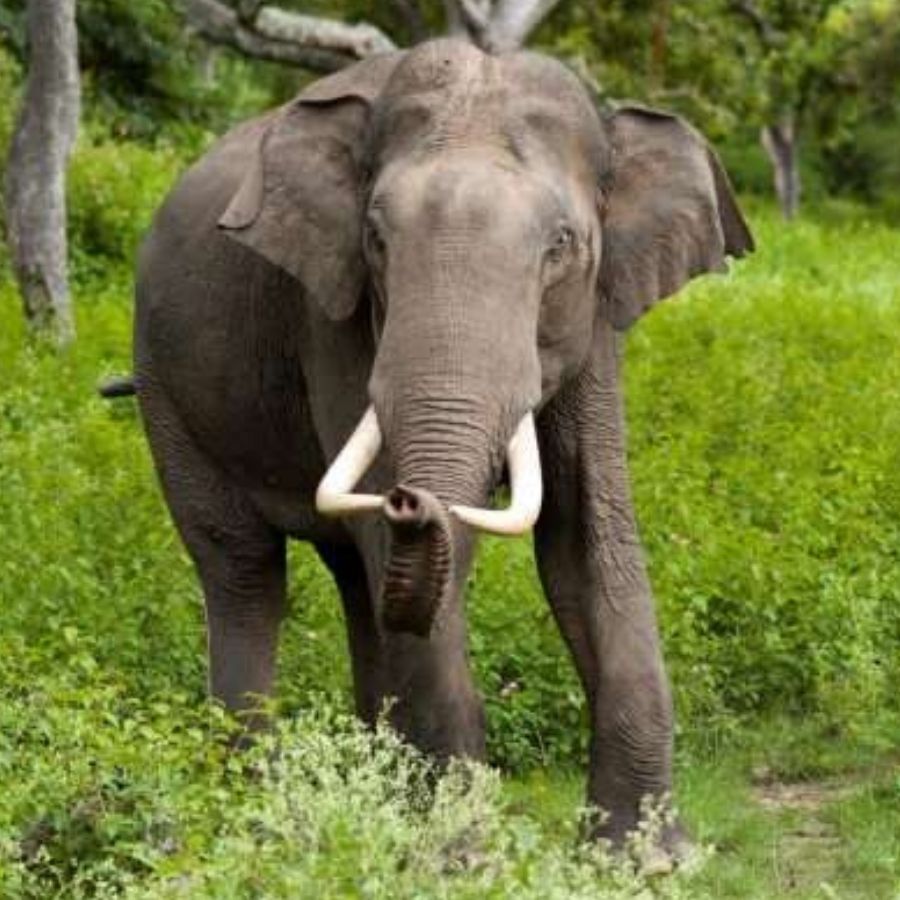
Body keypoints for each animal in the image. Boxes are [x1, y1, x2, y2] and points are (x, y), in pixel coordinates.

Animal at [128, 38, 752, 856]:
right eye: (376, 240)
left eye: (561, 247)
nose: (407, 497)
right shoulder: (331, 313)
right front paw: (461, 854)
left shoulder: (596, 320)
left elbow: (586, 535)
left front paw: (646, 860)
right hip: (165, 388)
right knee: (243, 571)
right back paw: (254, 814)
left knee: (356, 581)